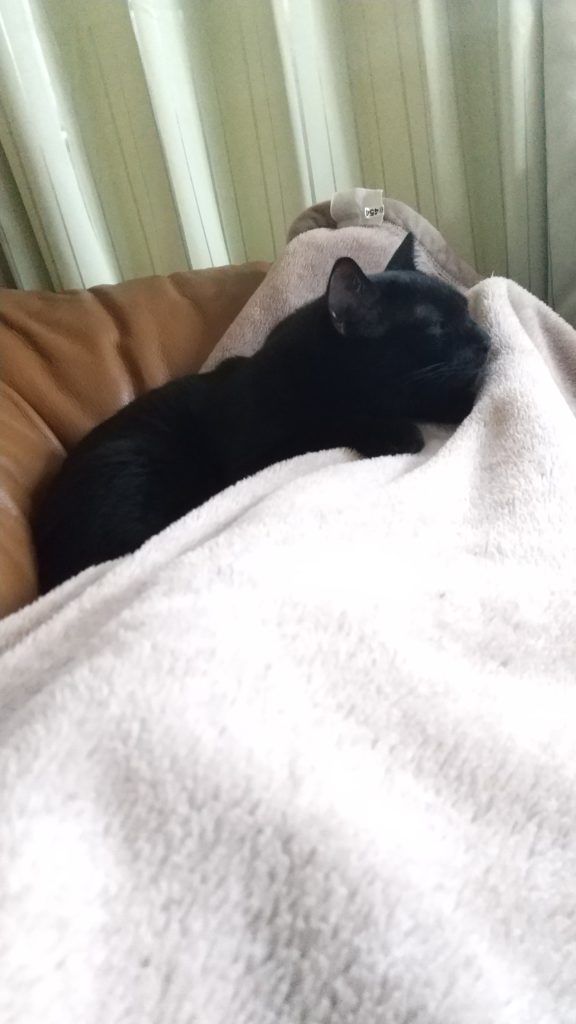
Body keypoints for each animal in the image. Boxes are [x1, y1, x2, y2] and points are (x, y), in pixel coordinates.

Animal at [33, 233, 489, 593]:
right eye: (438, 327)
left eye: (466, 310)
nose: (486, 338)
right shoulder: (259, 450)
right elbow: (332, 423)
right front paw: (396, 433)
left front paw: (468, 401)